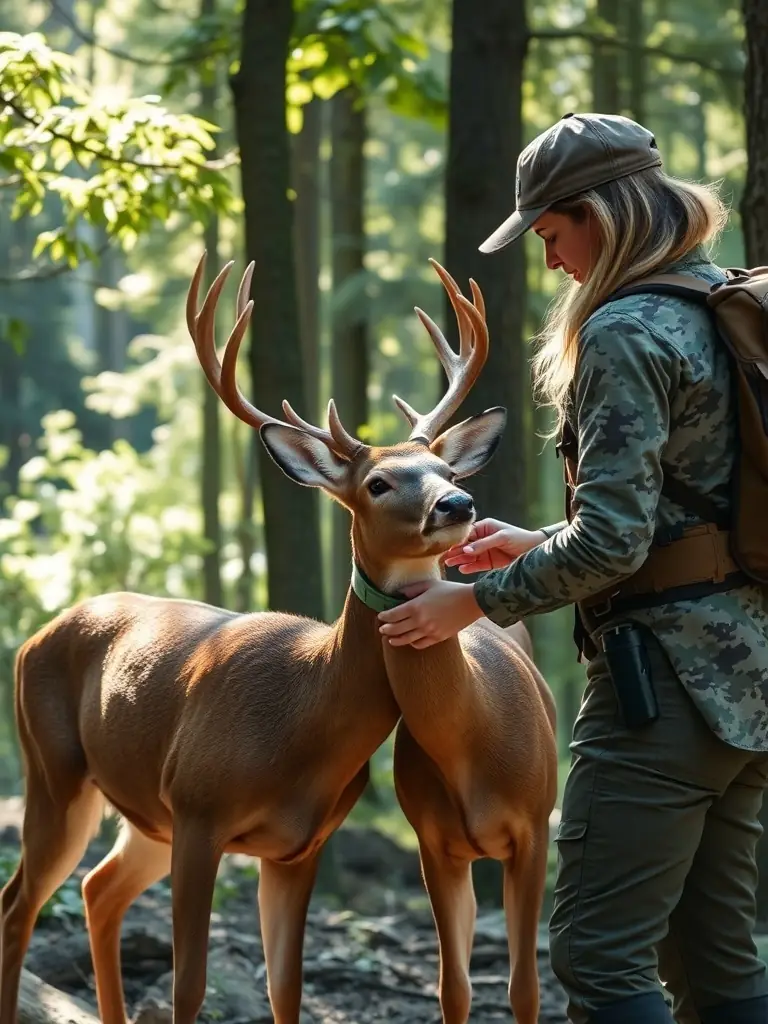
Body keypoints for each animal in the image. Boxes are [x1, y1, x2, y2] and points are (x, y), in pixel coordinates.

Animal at [0, 253, 557, 1024]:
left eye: (445, 470)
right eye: (378, 483)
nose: (459, 504)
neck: (302, 719)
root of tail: (34, 637)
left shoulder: (297, 844)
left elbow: (285, 986)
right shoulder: (199, 809)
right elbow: (190, 984)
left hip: (142, 816)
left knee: (96, 889)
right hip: (55, 769)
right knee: (19, 903)